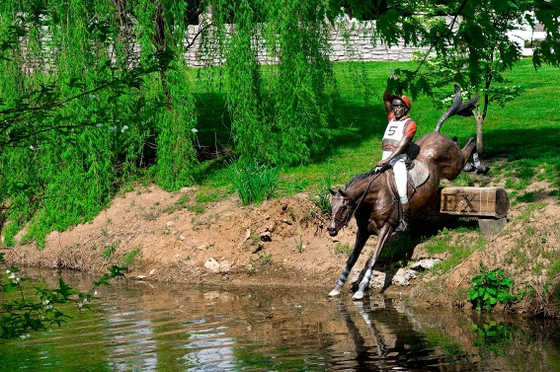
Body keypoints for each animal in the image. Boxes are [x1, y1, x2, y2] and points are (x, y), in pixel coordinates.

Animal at [328, 85, 482, 300]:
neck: (373, 198)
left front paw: (360, 290)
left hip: (454, 165)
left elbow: (373, 259)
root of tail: (437, 133)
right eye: (331, 207)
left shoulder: (386, 229)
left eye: (343, 208)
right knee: (461, 143)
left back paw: (479, 164)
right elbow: (351, 259)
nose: (331, 229)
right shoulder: (363, 231)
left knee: (470, 145)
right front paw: (337, 286)